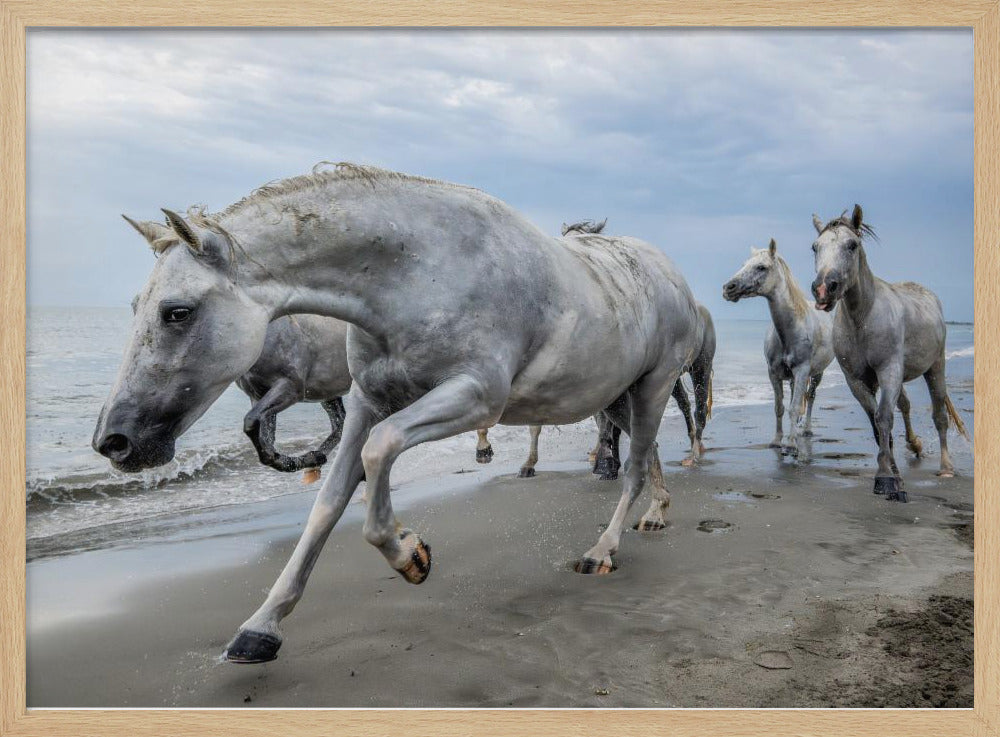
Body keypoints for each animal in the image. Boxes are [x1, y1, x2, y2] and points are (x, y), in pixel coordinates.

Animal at [93, 163, 704, 663]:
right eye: (136, 306)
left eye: (177, 312)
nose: (114, 442)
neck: (420, 272)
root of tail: (672, 272)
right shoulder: (368, 402)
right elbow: (329, 501)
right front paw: (261, 627)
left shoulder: (475, 397)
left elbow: (379, 450)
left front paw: (409, 553)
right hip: (617, 397)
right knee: (648, 456)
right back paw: (657, 514)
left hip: (653, 387)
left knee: (633, 467)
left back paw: (602, 551)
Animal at [722, 239, 834, 455]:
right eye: (743, 264)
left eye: (761, 267)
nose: (728, 288)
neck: (789, 332)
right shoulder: (773, 373)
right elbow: (780, 407)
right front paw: (777, 440)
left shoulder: (802, 371)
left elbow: (795, 406)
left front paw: (790, 445)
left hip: (817, 373)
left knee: (810, 397)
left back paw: (805, 430)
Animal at [810, 205, 969, 502]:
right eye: (815, 247)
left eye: (852, 245)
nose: (824, 288)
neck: (863, 318)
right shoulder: (857, 380)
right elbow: (877, 424)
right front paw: (894, 476)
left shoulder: (888, 370)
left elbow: (884, 418)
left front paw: (885, 479)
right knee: (905, 406)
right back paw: (915, 445)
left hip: (935, 367)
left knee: (939, 416)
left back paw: (946, 467)